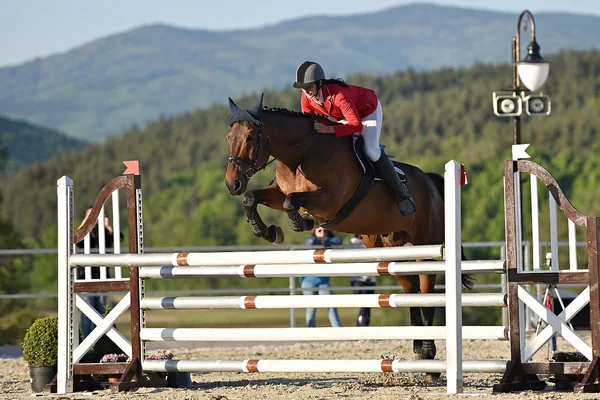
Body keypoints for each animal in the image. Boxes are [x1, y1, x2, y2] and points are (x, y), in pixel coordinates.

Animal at [223, 94, 472, 382]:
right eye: (229, 137)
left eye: (251, 137)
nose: (232, 184)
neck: (301, 154)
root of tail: (431, 182)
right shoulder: (277, 192)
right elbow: (253, 197)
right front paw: (268, 231)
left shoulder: (328, 201)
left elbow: (291, 201)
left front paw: (301, 221)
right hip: (393, 249)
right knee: (411, 290)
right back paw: (419, 348)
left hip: (425, 245)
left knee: (426, 292)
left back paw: (430, 359)